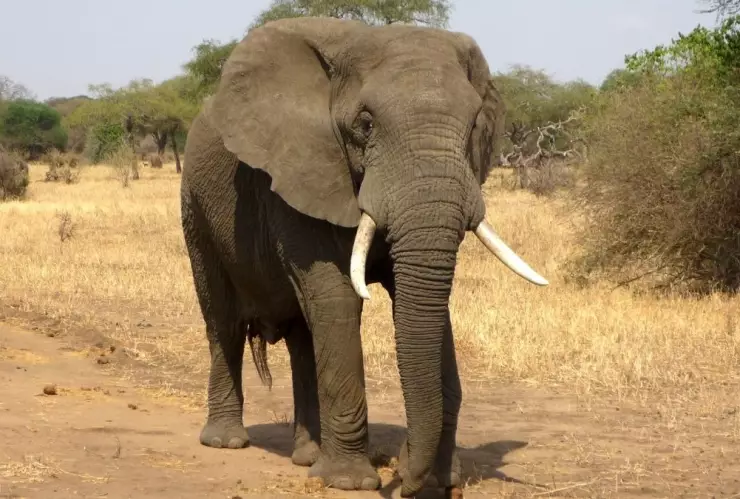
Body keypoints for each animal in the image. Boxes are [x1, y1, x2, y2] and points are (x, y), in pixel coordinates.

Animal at [180, 17, 548, 498]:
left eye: (473, 126)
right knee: (222, 319)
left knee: (303, 335)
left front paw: (437, 480)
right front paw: (349, 482)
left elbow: (425, 304)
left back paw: (307, 456)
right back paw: (226, 442)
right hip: (195, 206)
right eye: (366, 124)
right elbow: (338, 298)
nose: (404, 476)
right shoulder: (301, 171)